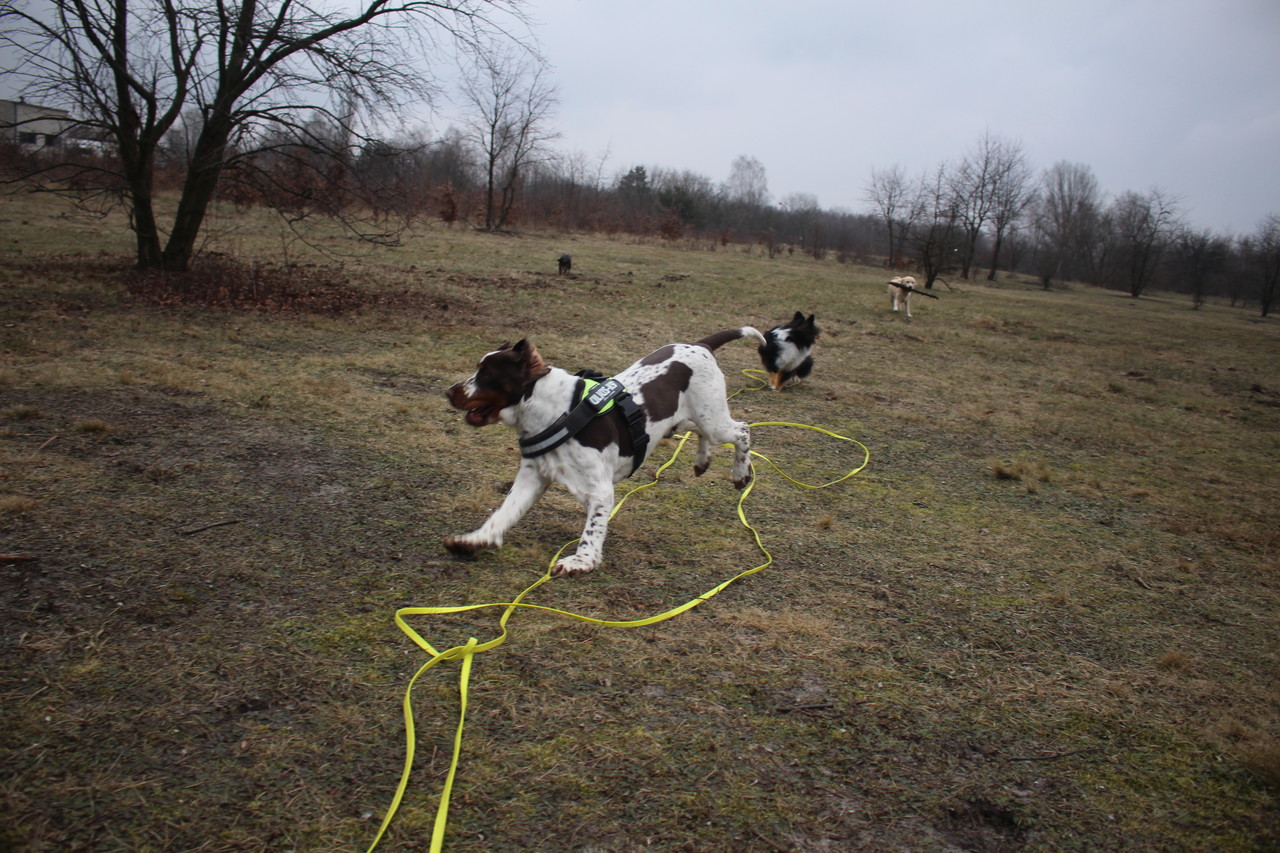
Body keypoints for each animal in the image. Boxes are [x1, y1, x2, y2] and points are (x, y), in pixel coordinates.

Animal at [444, 327, 766, 577]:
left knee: (742, 430)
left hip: (713, 420)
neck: (555, 413)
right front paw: (475, 540)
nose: (448, 392)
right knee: (700, 432)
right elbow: (504, 513)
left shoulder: (600, 491)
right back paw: (702, 461)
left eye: (486, 375)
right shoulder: (532, 477)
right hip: (684, 419)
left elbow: (592, 530)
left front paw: (581, 562)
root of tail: (701, 344)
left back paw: (740, 474)